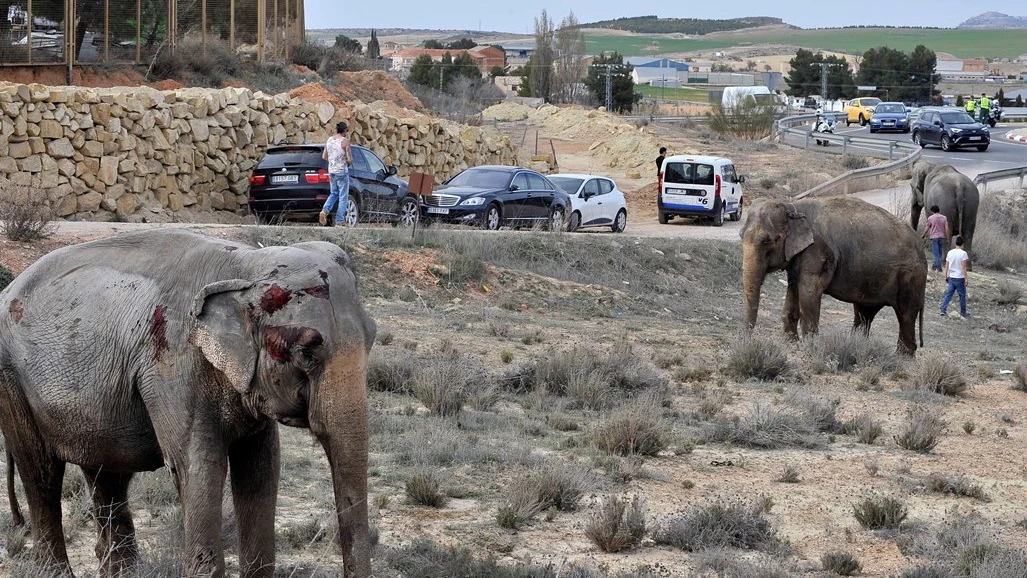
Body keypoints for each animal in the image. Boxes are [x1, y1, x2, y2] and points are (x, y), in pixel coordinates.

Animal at [0, 229, 377, 578]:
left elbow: (261, 465)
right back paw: (53, 570)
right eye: (306, 350)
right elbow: (199, 465)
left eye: (372, 336)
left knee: (107, 474)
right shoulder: (173, 365)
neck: (246, 266)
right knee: (41, 472)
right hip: (11, 380)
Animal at [743, 197, 928, 355]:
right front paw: (790, 344)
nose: (749, 341)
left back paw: (902, 357)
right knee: (864, 313)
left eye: (767, 241)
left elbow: (809, 294)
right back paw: (858, 346)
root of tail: (922, 247)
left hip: (911, 278)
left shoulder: (817, 253)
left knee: (906, 313)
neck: (793, 206)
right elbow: (793, 291)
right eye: (741, 236)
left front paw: (809, 347)